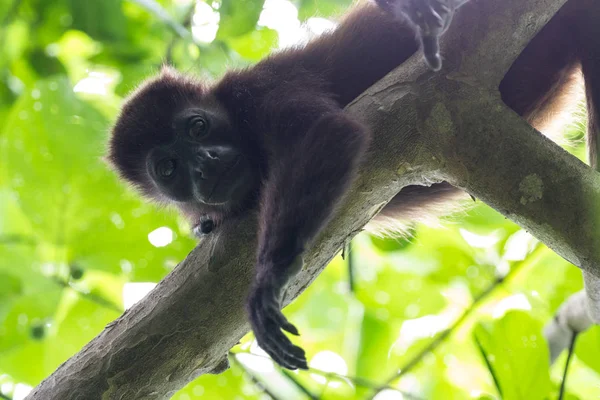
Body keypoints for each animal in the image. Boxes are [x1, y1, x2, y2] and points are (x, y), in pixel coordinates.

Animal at [108, 0, 600, 368]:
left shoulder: (259, 88)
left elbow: (326, 132)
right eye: (168, 168)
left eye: (197, 127)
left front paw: (268, 279)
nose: (205, 164)